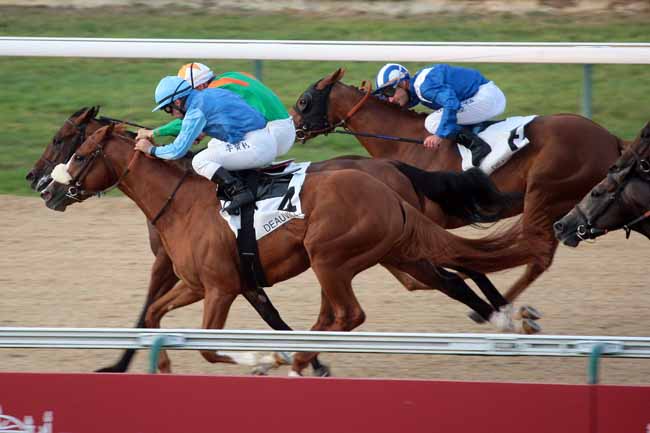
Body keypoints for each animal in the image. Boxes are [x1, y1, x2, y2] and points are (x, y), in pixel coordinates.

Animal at [292, 67, 624, 308]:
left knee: (533, 250)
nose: (291, 129)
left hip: (544, 192)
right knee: (537, 255)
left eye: (303, 101)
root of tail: (611, 139)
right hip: (560, 204)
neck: (404, 142)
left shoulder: (424, 221)